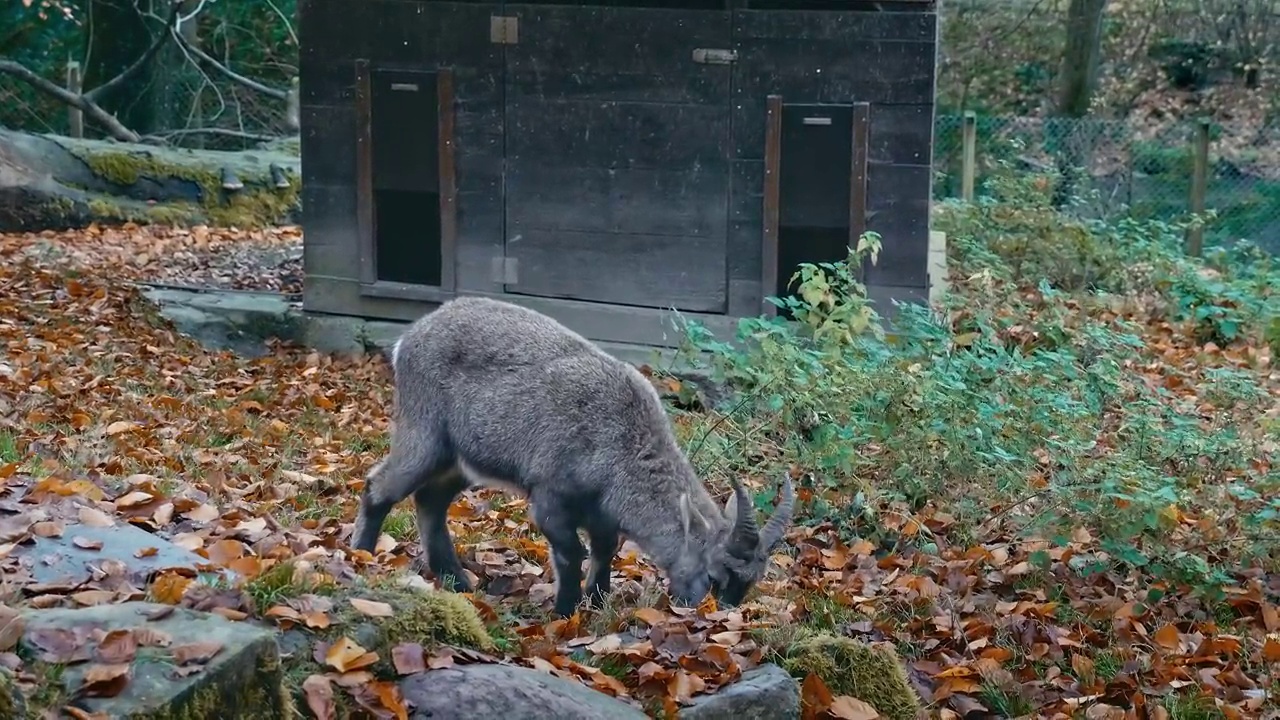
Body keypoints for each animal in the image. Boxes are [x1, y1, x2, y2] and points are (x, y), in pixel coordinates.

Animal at [348, 294, 788, 614]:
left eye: (752, 582)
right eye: (717, 574)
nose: (716, 614)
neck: (621, 444)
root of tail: (410, 338)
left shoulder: (603, 514)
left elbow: (605, 551)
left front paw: (596, 601)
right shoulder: (550, 498)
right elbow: (571, 553)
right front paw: (565, 612)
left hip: (459, 461)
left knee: (430, 500)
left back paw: (458, 580)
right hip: (424, 435)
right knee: (379, 487)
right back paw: (361, 556)